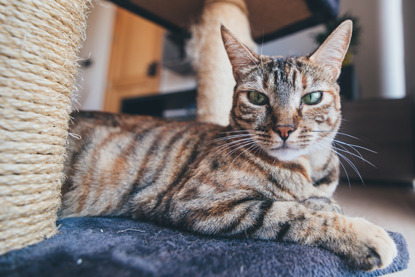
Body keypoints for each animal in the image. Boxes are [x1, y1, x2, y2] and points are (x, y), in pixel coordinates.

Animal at [60, 21, 398, 270]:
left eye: (312, 97)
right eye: (257, 98)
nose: (285, 129)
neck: (308, 167)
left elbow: (317, 201)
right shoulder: (198, 202)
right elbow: (289, 212)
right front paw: (362, 233)